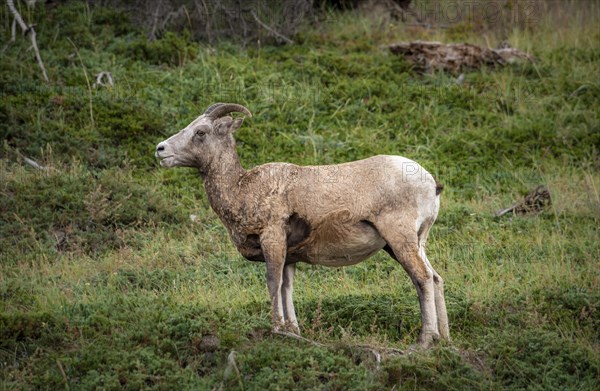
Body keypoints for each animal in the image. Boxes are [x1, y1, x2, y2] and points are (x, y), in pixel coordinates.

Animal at [157, 102, 448, 348]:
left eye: (201, 132)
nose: (161, 149)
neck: (241, 190)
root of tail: (430, 183)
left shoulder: (272, 239)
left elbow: (273, 282)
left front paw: (277, 329)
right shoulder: (290, 257)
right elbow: (287, 288)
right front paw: (292, 330)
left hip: (400, 239)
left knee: (422, 278)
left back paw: (425, 341)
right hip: (414, 243)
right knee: (435, 278)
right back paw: (445, 339)